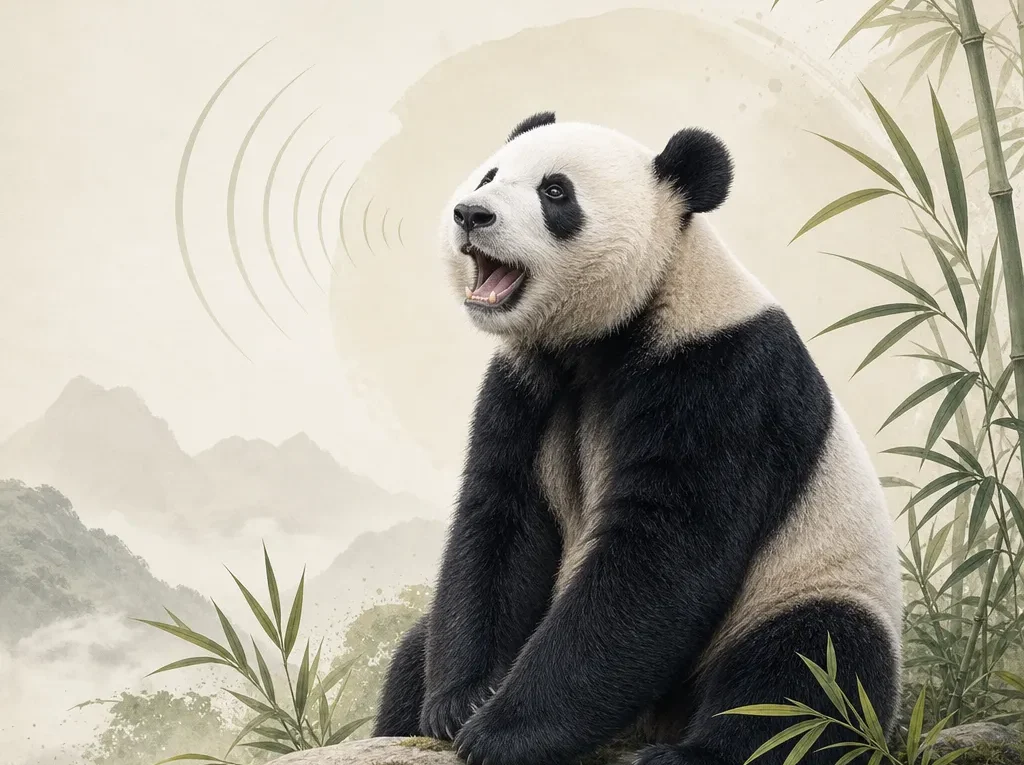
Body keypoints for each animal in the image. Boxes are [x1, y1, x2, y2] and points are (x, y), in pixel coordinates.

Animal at [373, 112, 903, 765]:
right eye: (490, 175)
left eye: (555, 192)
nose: (471, 214)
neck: (611, 332)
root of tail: (653, 723)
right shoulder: (525, 385)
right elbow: (499, 524)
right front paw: (460, 702)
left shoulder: (721, 378)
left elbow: (658, 555)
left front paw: (501, 732)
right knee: (410, 654)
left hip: (809, 578)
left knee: (806, 677)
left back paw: (688, 753)